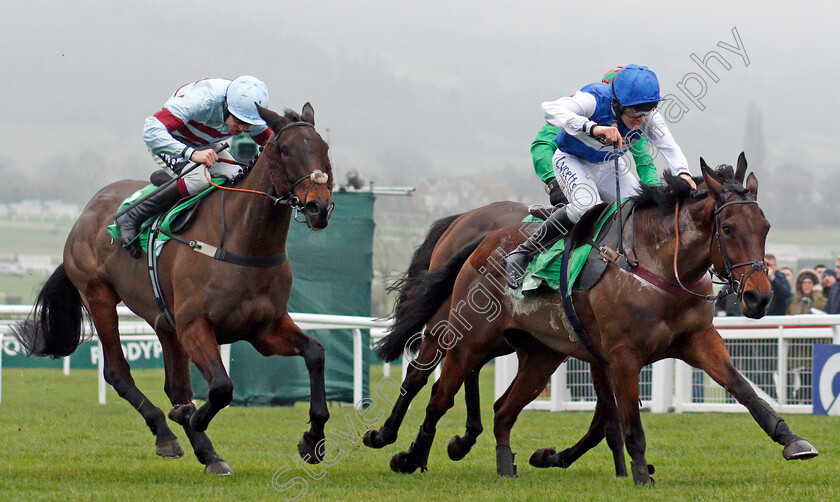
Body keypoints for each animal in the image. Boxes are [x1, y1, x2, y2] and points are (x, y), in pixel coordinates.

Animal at [13, 103, 334, 474]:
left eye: (324, 149)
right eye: (285, 150)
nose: (319, 208)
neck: (244, 242)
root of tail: (86, 213)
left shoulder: (264, 329)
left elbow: (315, 352)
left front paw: (313, 440)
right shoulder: (195, 326)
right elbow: (221, 387)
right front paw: (191, 419)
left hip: (165, 321)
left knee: (175, 385)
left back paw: (207, 452)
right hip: (98, 295)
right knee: (118, 372)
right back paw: (167, 435)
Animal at [364, 200, 628, 474]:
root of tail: (463, 217)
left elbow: (602, 420)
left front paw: (553, 457)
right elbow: (608, 418)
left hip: (496, 336)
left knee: (469, 370)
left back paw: (460, 440)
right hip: (451, 321)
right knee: (419, 375)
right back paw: (389, 437)